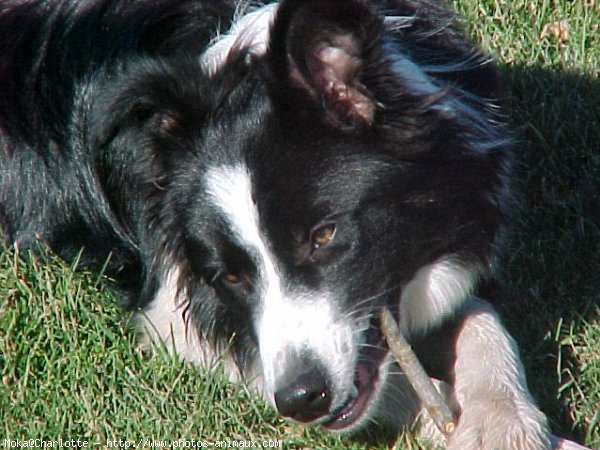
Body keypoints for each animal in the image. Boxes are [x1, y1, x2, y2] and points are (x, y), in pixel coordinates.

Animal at [0, 0, 588, 448]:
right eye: (230, 276)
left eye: (324, 236)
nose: (303, 401)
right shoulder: (169, 311)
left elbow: (483, 321)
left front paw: (507, 424)